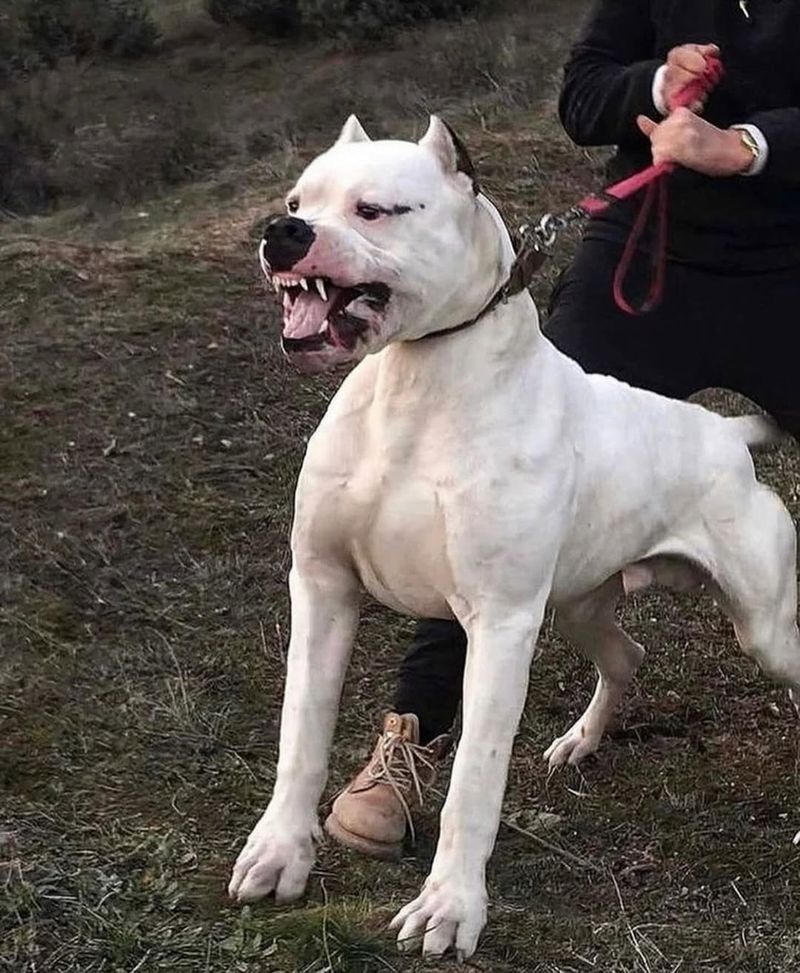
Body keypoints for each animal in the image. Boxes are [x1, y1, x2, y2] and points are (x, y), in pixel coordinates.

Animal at [227, 117, 800, 960]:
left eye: (374, 210)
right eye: (299, 201)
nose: (282, 233)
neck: (415, 381)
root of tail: (727, 434)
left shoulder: (498, 627)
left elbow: (474, 779)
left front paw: (449, 906)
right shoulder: (323, 588)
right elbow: (301, 735)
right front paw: (278, 853)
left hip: (760, 628)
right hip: (579, 606)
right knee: (627, 654)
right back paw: (581, 741)